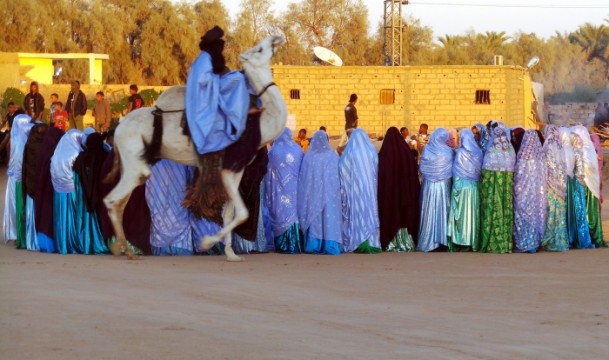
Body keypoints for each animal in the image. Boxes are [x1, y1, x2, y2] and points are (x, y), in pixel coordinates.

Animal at [103, 35, 286, 262]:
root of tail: (119, 128)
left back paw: (120, 247)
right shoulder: (227, 168)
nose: (276, 38)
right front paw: (207, 242)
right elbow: (243, 213)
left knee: (120, 201)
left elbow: (229, 213)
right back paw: (127, 251)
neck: (259, 123)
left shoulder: (238, 168)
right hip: (134, 158)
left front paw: (231, 254)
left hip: (132, 162)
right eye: (260, 49)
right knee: (113, 199)